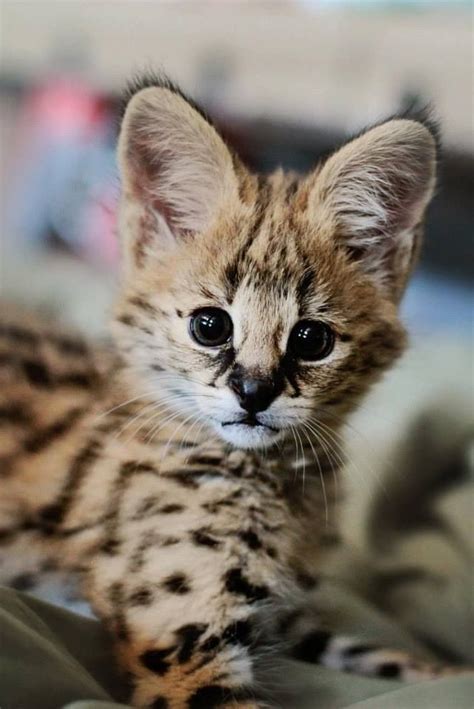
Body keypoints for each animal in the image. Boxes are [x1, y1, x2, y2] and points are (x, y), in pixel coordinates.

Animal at [0, 74, 460, 704]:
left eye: (312, 339)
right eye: (210, 326)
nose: (253, 392)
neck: (270, 479)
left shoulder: (286, 618)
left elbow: (378, 656)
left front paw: (445, 673)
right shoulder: (187, 645)